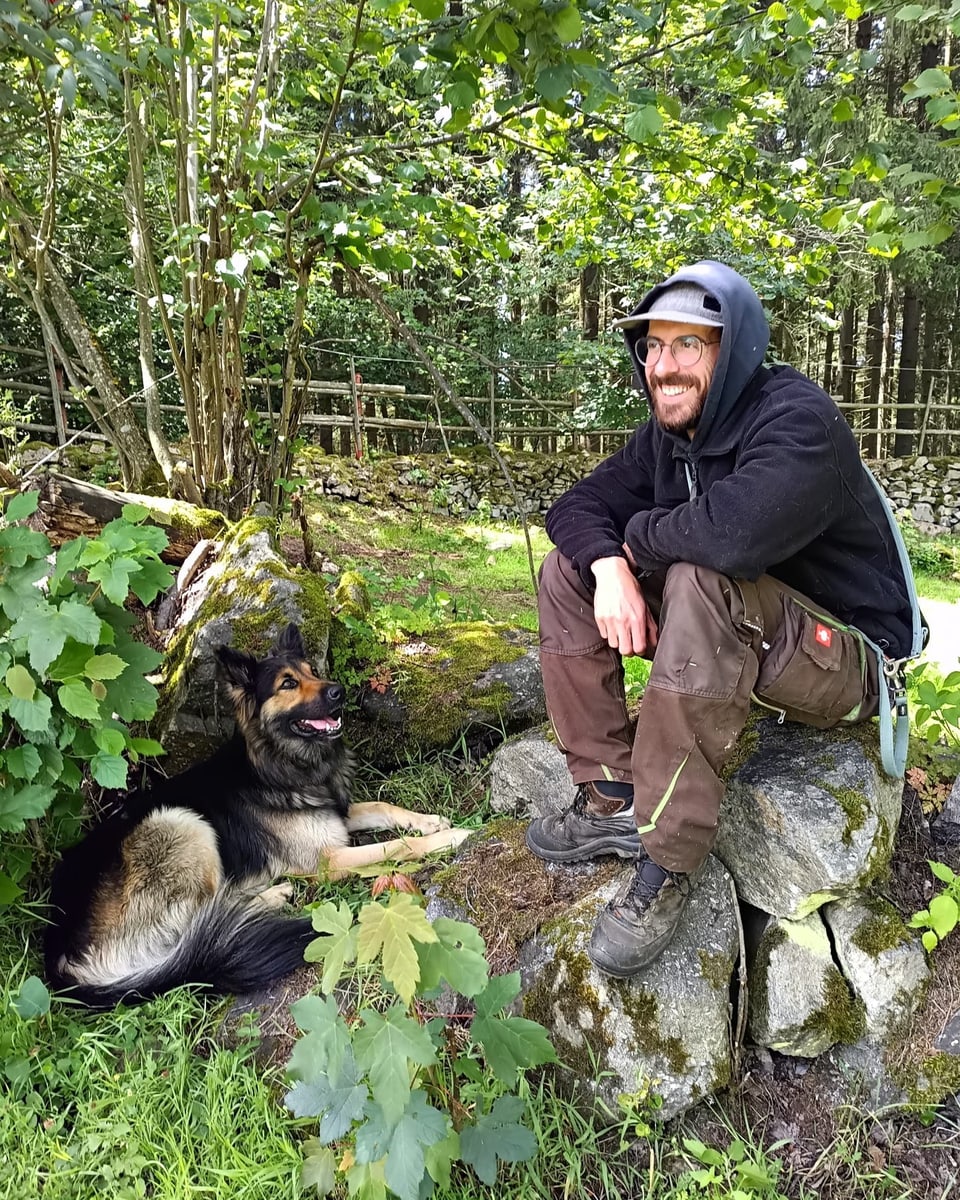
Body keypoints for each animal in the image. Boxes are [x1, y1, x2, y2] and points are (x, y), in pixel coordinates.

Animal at [45, 624, 472, 1008]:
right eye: (287, 684)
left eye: (313, 671)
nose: (339, 691)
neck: (283, 764)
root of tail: (58, 963)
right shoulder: (328, 860)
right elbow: (396, 846)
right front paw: (451, 838)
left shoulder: (336, 815)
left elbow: (385, 808)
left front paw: (431, 821)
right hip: (180, 823)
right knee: (200, 919)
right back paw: (271, 896)